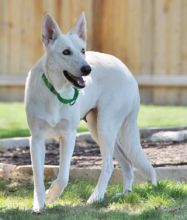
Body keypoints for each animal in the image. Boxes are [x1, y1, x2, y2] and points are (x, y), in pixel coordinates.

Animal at [24, 12, 156, 212]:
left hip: (106, 126)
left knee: (109, 165)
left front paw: (51, 195)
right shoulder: (36, 139)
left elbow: (63, 177)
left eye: (83, 50)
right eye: (66, 52)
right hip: (98, 129)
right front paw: (39, 203)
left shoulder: (69, 136)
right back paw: (124, 193)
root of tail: (126, 69)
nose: (87, 69)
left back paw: (96, 197)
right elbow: (38, 176)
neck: (56, 91)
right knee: (126, 164)